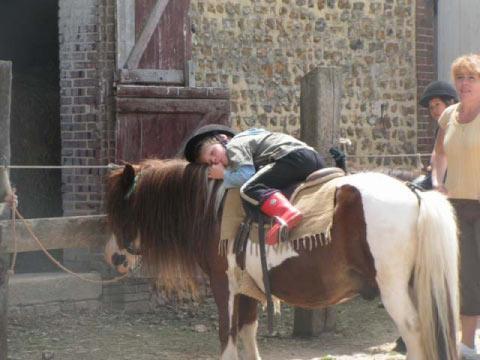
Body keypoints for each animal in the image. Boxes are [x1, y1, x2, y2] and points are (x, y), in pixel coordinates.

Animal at [104, 160, 458, 360]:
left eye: (119, 208)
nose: (113, 257)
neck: (213, 208)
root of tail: (415, 193)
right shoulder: (247, 290)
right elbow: (248, 334)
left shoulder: (224, 286)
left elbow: (228, 338)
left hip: (394, 290)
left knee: (414, 333)